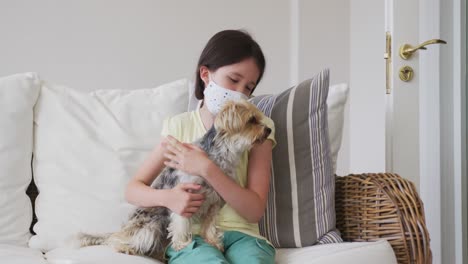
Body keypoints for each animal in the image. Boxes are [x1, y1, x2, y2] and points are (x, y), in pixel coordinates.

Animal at [77, 100, 270, 258]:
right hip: (151, 226)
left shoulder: (214, 203)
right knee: (116, 240)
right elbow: (181, 224)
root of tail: (123, 229)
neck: (221, 157)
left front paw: (213, 241)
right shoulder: (184, 198)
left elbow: (210, 225)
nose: (269, 130)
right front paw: (182, 244)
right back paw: (125, 247)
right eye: (251, 120)